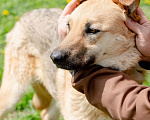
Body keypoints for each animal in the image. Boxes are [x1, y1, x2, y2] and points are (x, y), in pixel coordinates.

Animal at [0, 0, 146, 119]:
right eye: (68, 26)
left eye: (92, 30)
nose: (53, 58)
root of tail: (28, 13)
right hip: (12, 93)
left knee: (45, 113)